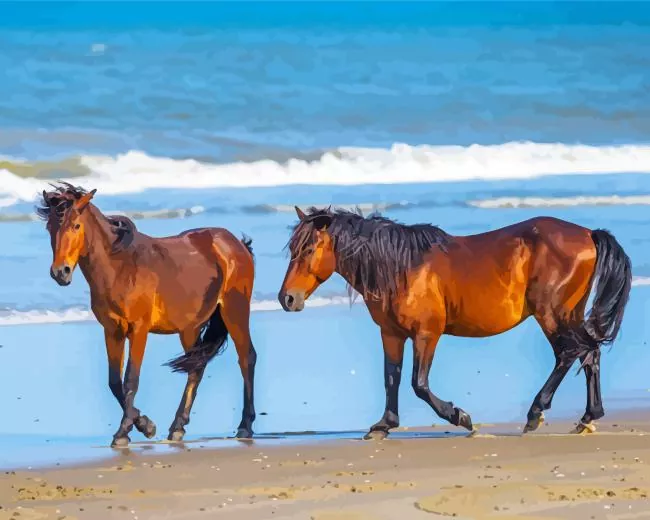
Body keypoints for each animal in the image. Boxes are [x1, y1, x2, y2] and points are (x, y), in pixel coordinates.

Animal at [38, 183, 257, 447]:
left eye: (76, 225)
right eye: (50, 227)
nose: (61, 272)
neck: (120, 268)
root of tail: (236, 243)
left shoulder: (139, 329)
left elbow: (131, 379)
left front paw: (124, 432)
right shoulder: (112, 331)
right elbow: (114, 382)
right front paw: (145, 425)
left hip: (235, 311)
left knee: (246, 358)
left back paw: (245, 425)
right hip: (190, 327)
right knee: (196, 368)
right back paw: (177, 427)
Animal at [278, 206, 632, 440]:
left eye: (308, 248)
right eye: (293, 248)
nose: (287, 299)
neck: (401, 268)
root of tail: (588, 233)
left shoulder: (426, 334)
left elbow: (419, 384)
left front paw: (461, 417)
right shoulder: (391, 334)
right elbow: (391, 379)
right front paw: (383, 425)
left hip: (552, 314)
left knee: (570, 354)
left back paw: (536, 413)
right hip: (568, 314)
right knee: (589, 353)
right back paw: (587, 417)